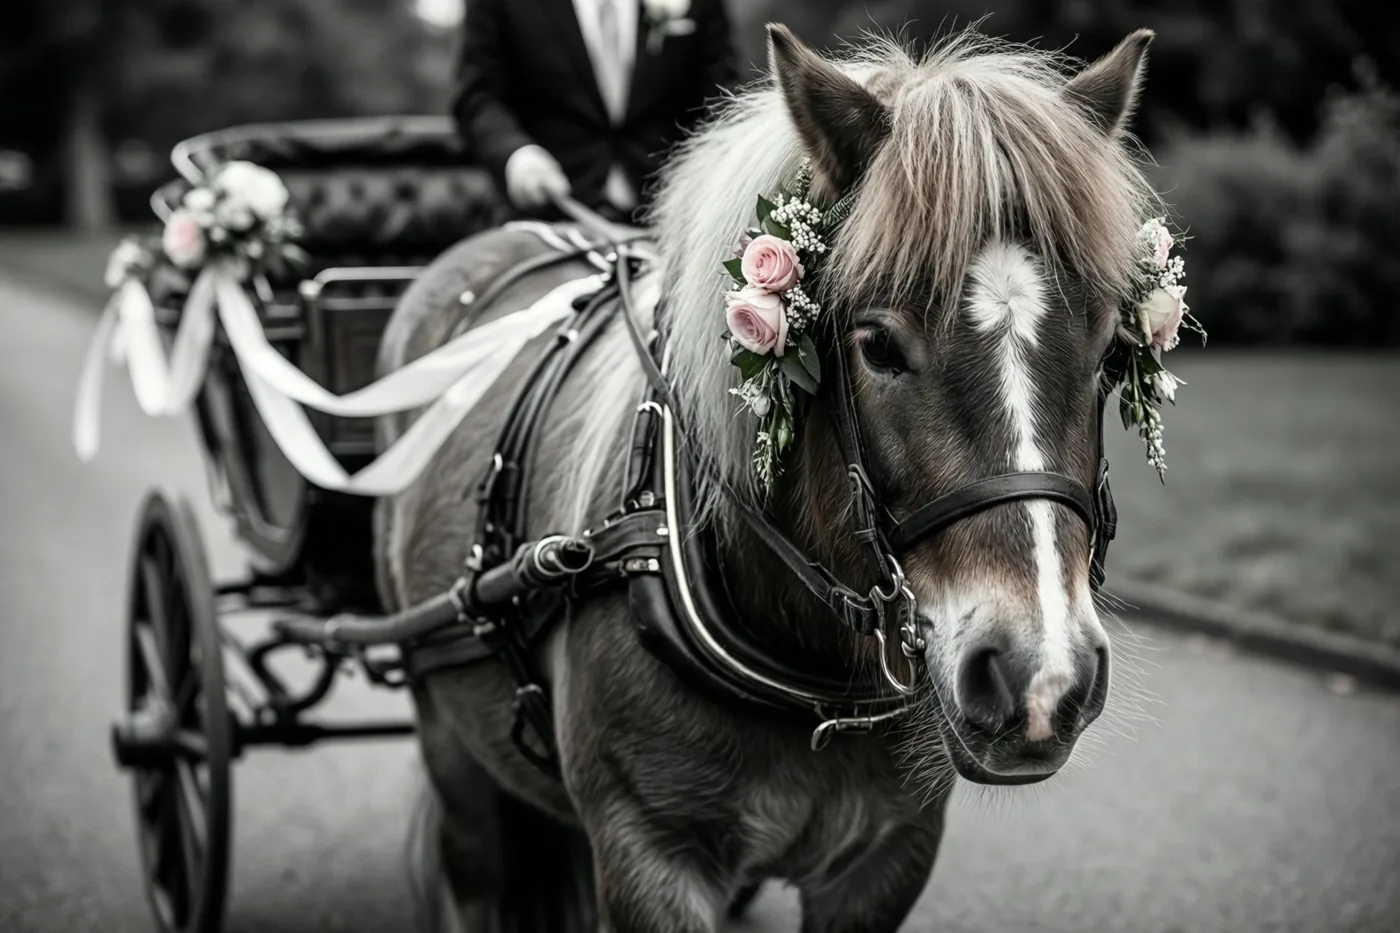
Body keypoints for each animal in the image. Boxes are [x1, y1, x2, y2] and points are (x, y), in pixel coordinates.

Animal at [375, 23, 1161, 933]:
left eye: (1109, 350)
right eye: (877, 345)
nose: (1041, 676)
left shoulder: (884, 860)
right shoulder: (650, 859)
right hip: (447, 742)